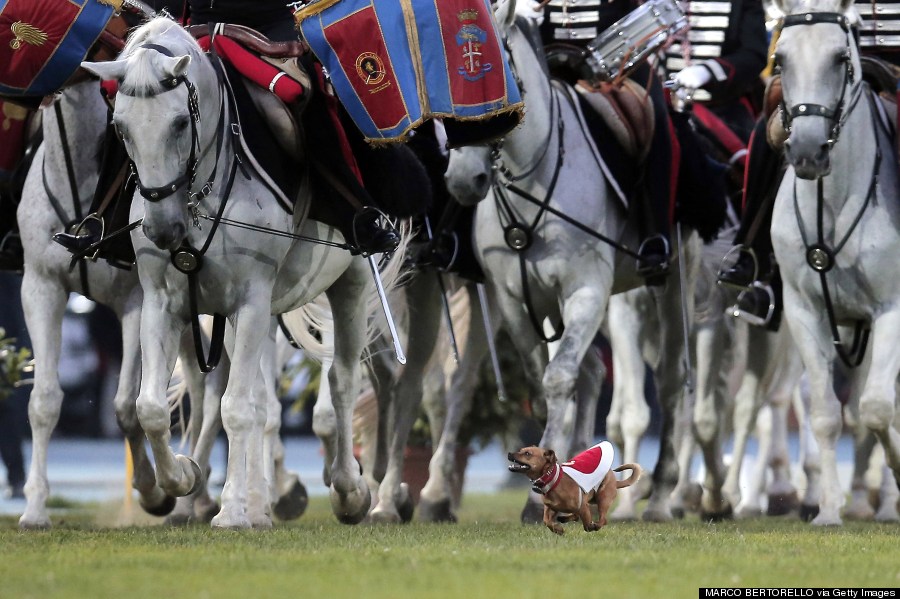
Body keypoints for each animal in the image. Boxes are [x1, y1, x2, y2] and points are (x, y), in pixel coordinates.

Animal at [80, 16, 398, 528]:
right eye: (120, 128)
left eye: (179, 123)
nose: (162, 229)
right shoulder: (163, 303)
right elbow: (152, 408)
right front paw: (184, 477)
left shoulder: (250, 300)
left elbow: (236, 408)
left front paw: (230, 511)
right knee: (264, 400)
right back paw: (259, 502)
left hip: (348, 285)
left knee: (342, 382)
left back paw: (349, 492)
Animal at [446, 0, 700, 524]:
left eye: (497, 81)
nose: (463, 179)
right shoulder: (516, 302)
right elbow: (546, 382)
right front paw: (549, 480)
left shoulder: (585, 291)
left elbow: (559, 377)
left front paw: (535, 496)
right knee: (594, 373)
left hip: (669, 283)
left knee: (669, 380)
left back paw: (661, 495)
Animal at [510, 442, 644, 536]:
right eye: (521, 450)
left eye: (527, 453)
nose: (509, 453)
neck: (554, 479)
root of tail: (615, 481)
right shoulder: (550, 507)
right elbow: (546, 521)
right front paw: (558, 529)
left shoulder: (583, 506)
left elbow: (587, 525)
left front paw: (590, 526)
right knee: (575, 516)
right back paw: (564, 519)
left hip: (603, 500)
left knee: (603, 520)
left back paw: (595, 525)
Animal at [768, 0, 900, 524]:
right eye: (781, 59)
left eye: (841, 59)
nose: (806, 150)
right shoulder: (805, 313)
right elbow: (827, 414)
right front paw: (826, 509)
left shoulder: (892, 309)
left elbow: (878, 407)